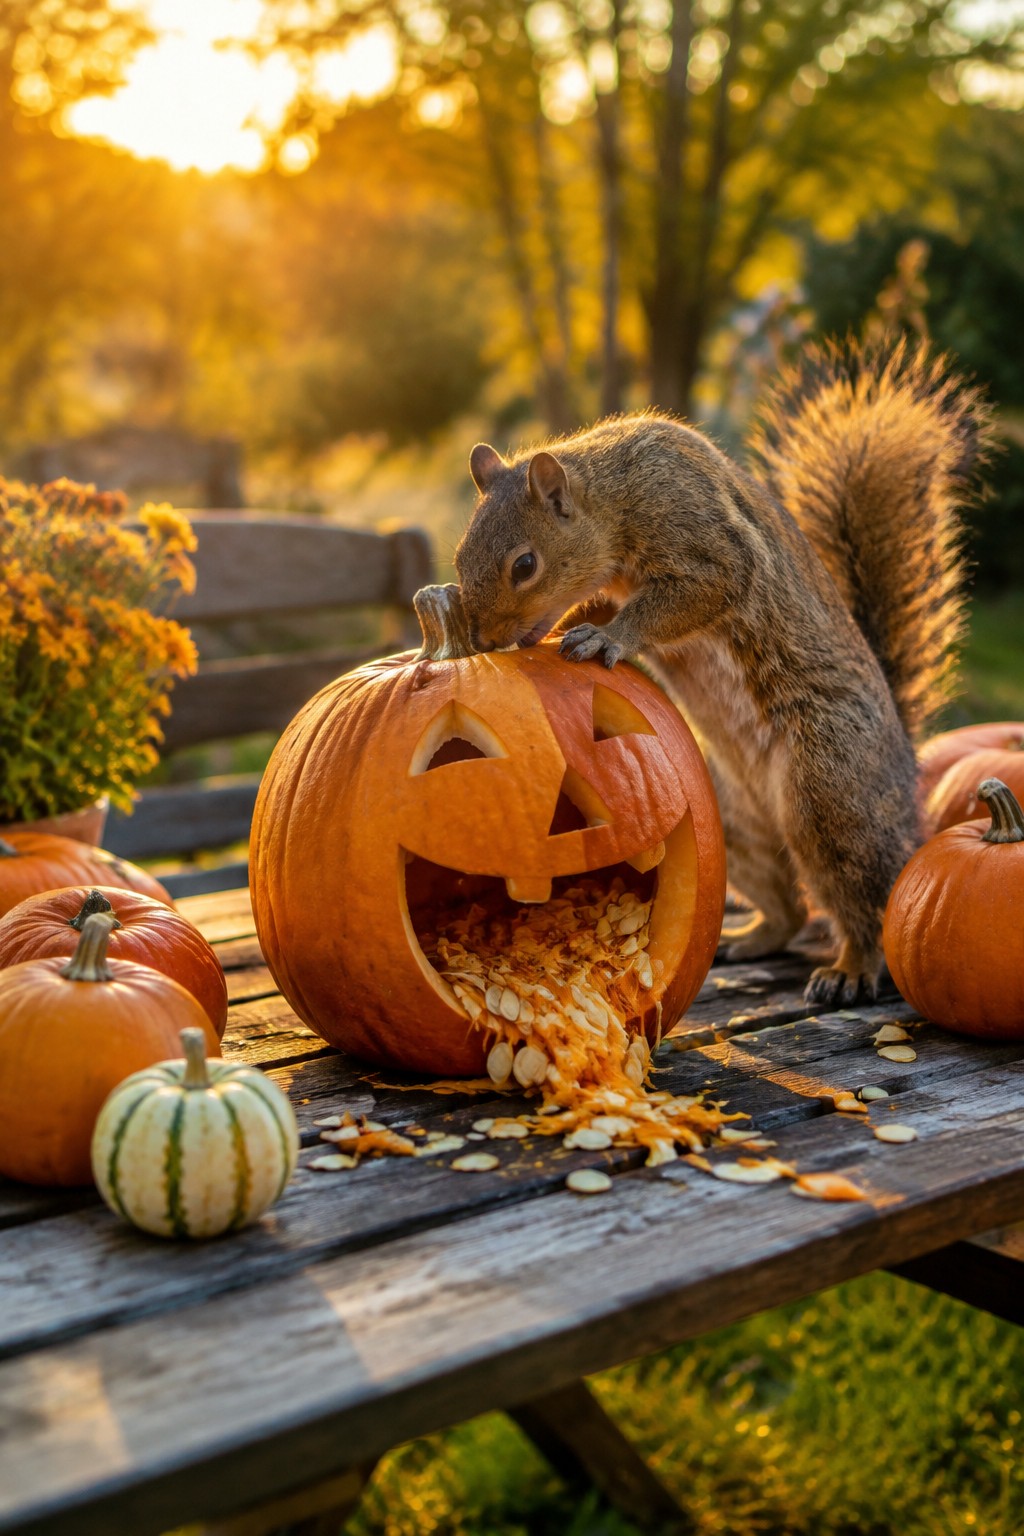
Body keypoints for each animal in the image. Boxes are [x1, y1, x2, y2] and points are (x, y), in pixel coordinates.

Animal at [453, 337, 989, 1007]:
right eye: (459, 557)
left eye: (524, 565)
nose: (483, 641)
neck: (614, 493)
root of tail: (905, 758)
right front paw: (571, 627)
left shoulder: (702, 536)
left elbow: (702, 587)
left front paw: (608, 637)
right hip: (730, 816)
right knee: (788, 907)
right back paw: (751, 937)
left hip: (830, 793)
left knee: (870, 902)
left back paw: (851, 968)